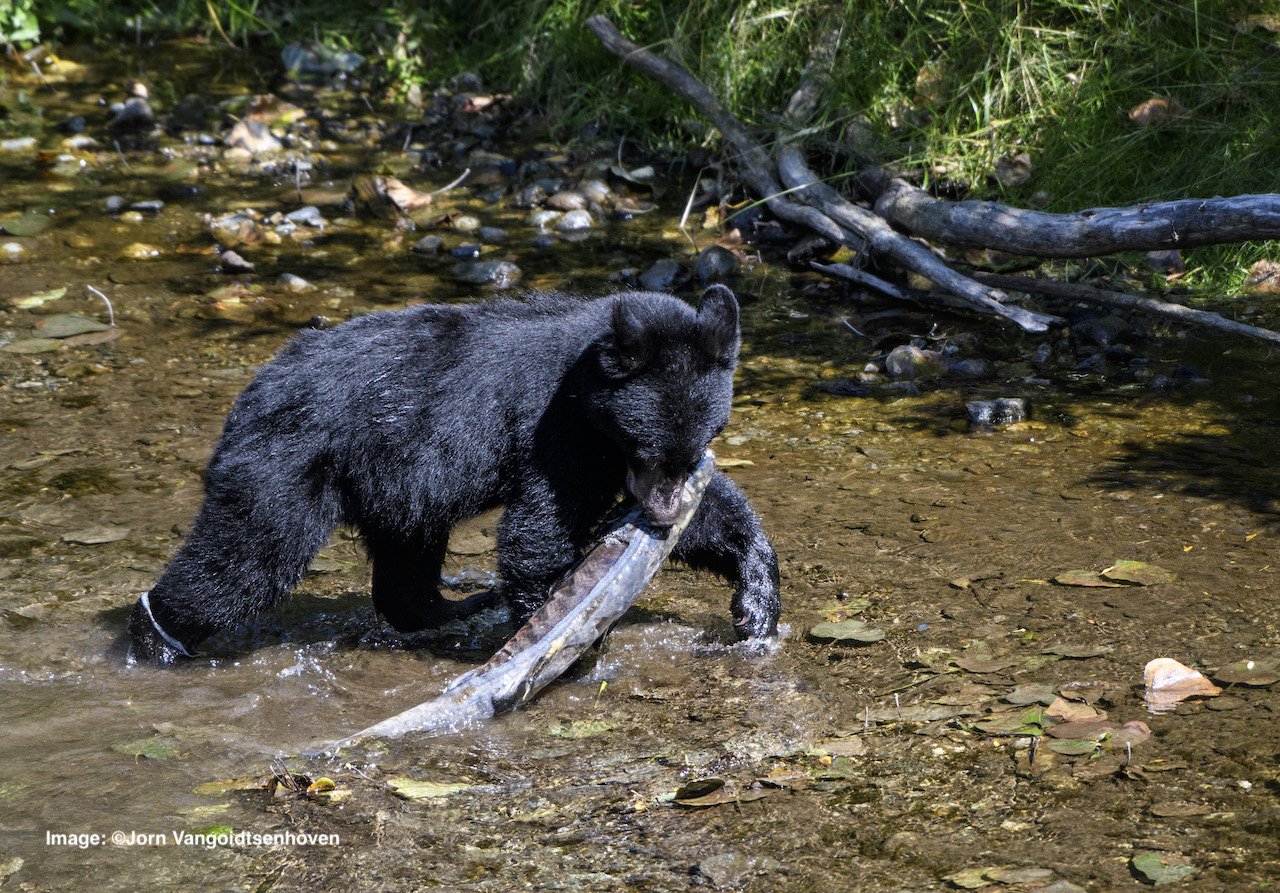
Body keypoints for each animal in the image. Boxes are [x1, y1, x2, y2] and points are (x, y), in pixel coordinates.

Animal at [135, 285, 783, 660]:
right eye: (644, 444)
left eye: (705, 439)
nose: (665, 512)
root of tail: (255, 388)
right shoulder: (557, 427)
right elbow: (542, 525)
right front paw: (560, 631)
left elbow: (713, 511)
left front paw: (755, 598)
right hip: (287, 462)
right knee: (248, 555)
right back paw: (158, 634)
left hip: (393, 483)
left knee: (406, 560)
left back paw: (451, 607)